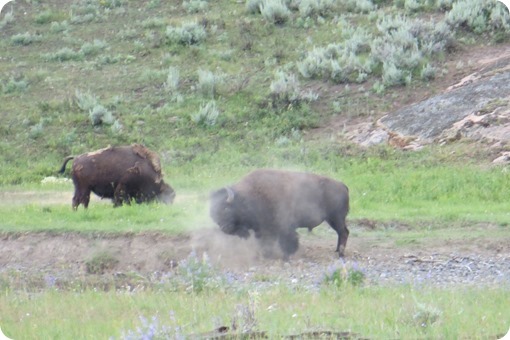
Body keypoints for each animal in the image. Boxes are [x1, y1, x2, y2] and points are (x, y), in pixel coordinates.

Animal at [209, 170, 348, 260]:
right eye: (214, 212)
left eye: (226, 208)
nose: (224, 228)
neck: (249, 196)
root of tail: (342, 185)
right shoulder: (263, 229)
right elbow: (265, 241)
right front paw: (266, 255)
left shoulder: (282, 227)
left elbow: (286, 241)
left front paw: (286, 256)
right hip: (332, 219)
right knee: (341, 233)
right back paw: (337, 250)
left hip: (337, 218)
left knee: (344, 232)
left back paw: (341, 253)